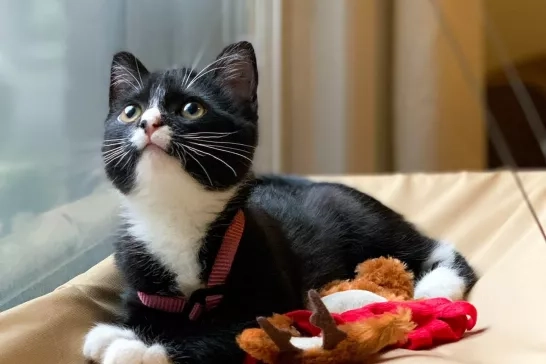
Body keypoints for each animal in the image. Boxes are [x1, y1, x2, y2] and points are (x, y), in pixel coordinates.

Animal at [82, 42, 476, 364]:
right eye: (130, 112)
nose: (148, 123)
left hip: (360, 218)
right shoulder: (139, 274)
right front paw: (118, 331)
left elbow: (233, 332)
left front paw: (137, 349)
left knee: (431, 248)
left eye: (192, 109)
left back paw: (438, 285)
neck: (177, 216)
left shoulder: (265, 281)